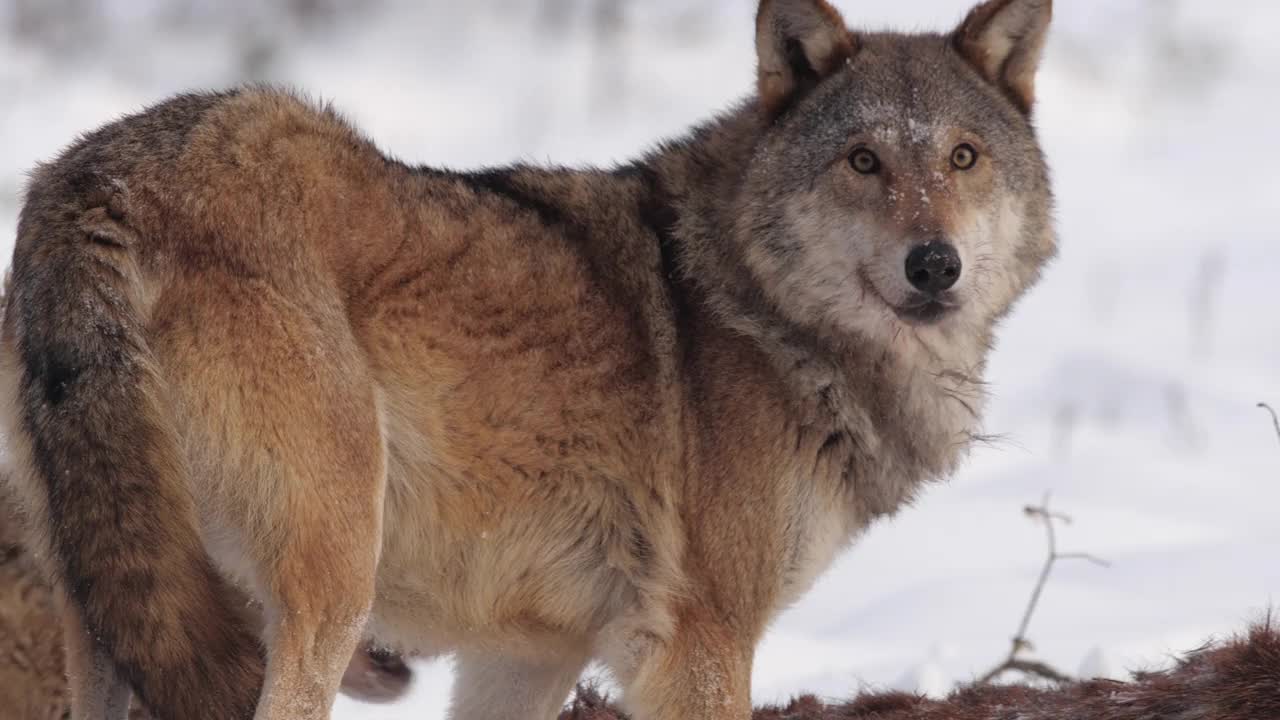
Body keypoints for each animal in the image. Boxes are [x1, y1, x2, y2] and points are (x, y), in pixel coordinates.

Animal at [0, 0, 1049, 712]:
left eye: (962, 158)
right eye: (863, 162)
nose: (934, 264)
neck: (759, 312)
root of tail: (98, 179)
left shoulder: (525, 656)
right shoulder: (699, 646)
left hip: (116, 614)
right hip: (327, 599)